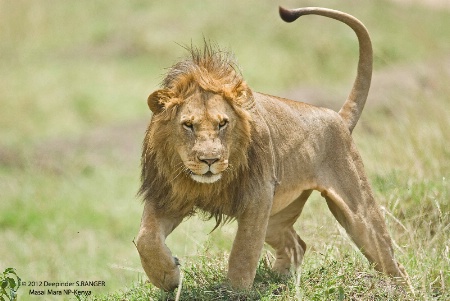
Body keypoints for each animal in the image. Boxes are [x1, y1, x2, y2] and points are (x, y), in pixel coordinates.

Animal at [134, 5, 412, 290]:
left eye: (223, 123)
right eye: (188, 125)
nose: (209, 160)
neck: (206, 185)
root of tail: (337, 117)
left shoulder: (258, 197)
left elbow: (243, 253)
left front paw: (236, 290)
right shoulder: (166, 194)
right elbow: (146, 238)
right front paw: (168, 277)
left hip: (358, 211)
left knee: (389, 258)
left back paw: (397, 286)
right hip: (277, 215)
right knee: (297, 244)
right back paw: (280, 279)